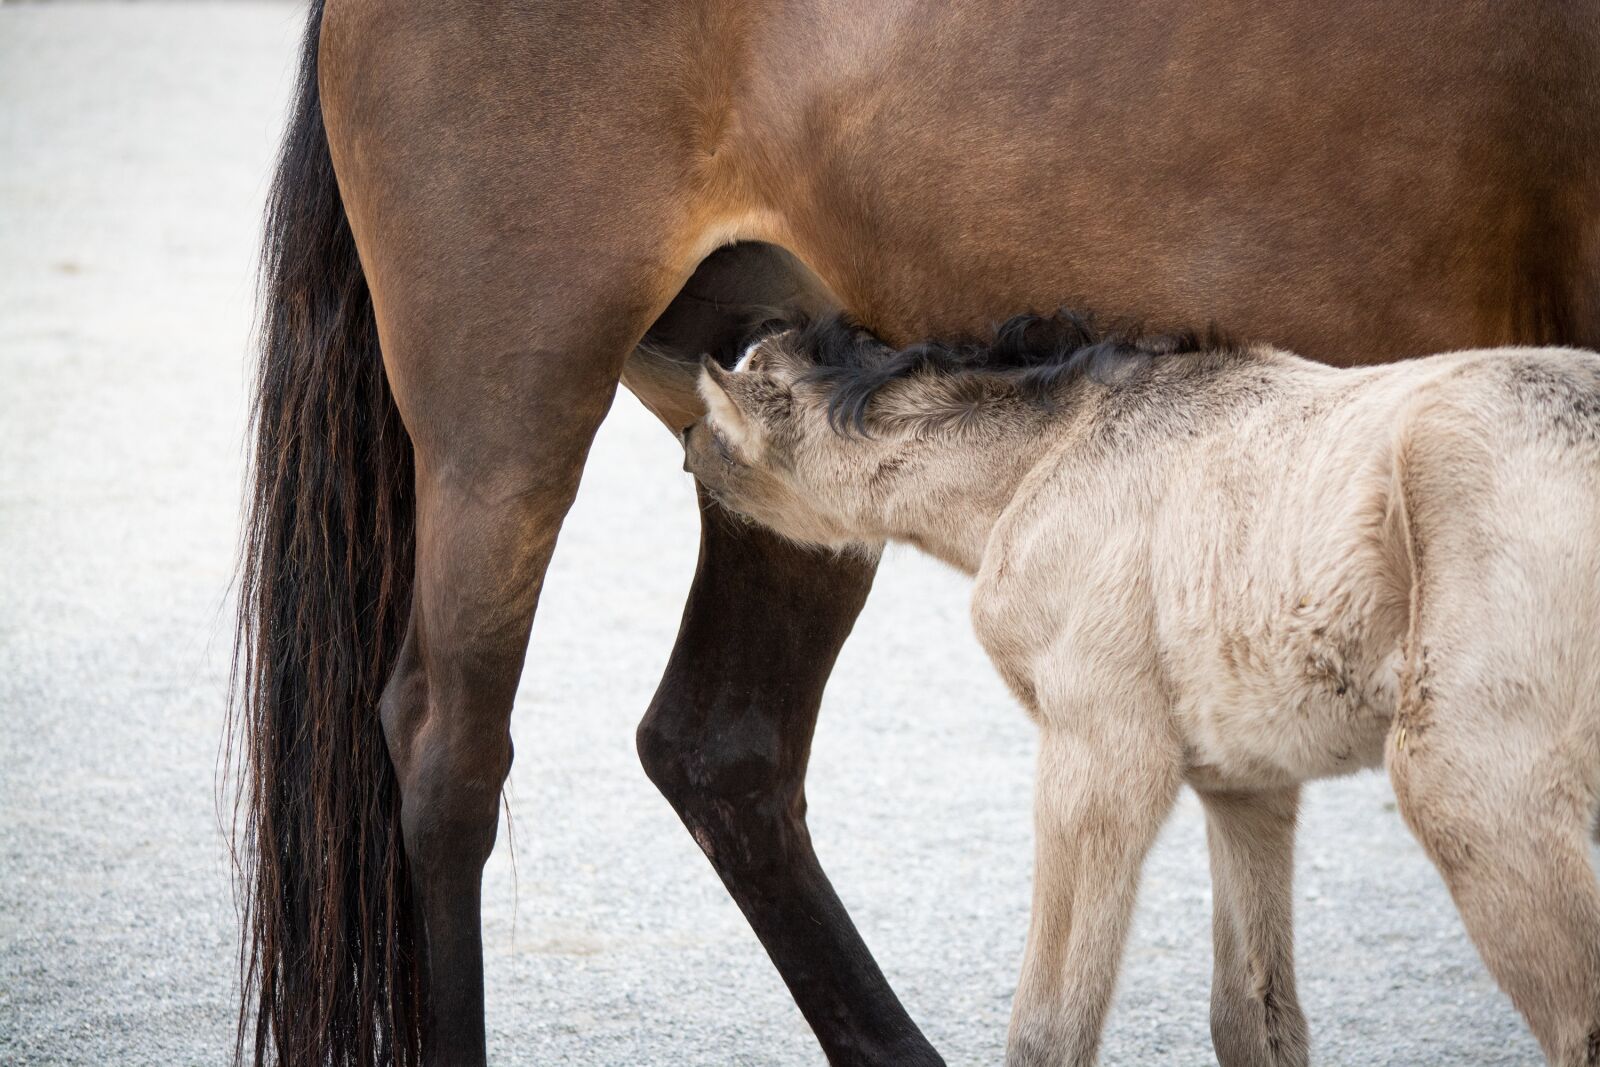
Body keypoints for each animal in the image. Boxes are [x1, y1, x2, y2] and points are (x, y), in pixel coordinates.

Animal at [682, 312, 1600, 1066]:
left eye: (721, 429)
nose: (686, 439)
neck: (1051, 458)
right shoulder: (1246, 784)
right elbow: (1254, 1016)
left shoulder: (1102, 753)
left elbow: (1049, 1027)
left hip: (1469, 778)